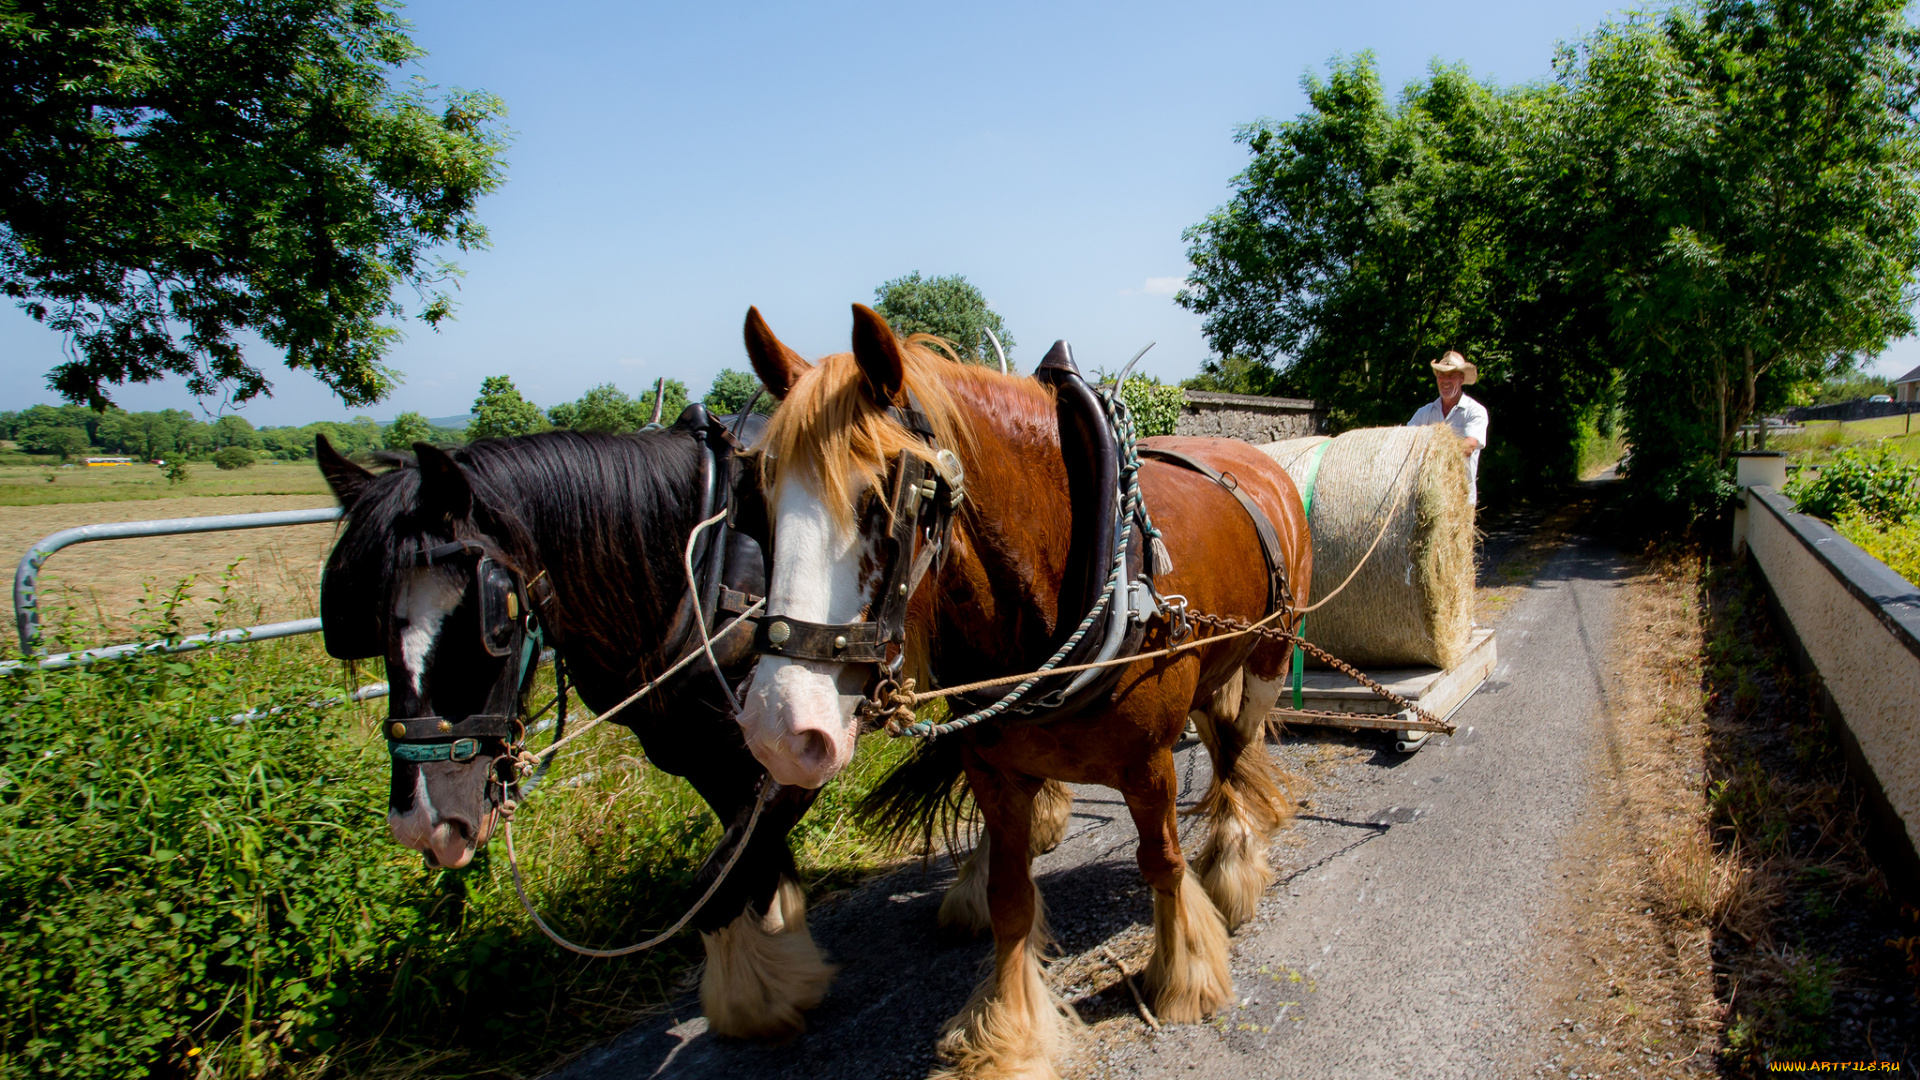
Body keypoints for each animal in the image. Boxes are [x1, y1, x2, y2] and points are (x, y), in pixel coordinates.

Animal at [312, 403, 833, 1037]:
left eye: (490, 621)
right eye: (366, 624)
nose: (423, 825)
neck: (707, 561)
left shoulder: (795, 753)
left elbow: (716, 882)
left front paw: (762, 997)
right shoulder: (702, 757)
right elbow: (751, 862)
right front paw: (781, 960)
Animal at [729, 305, 1305, 1076]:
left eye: (884, 496)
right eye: (758, 500)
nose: (778, 727)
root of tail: (1262, 462)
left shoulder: (1148, 762)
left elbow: (1160, 862)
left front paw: (1185, 972)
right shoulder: (995, 769)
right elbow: (1009, 899)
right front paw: (1010, 1031)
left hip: (1272, 650)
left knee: (1238, 748)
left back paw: (1235, 858)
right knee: (1222, 740)